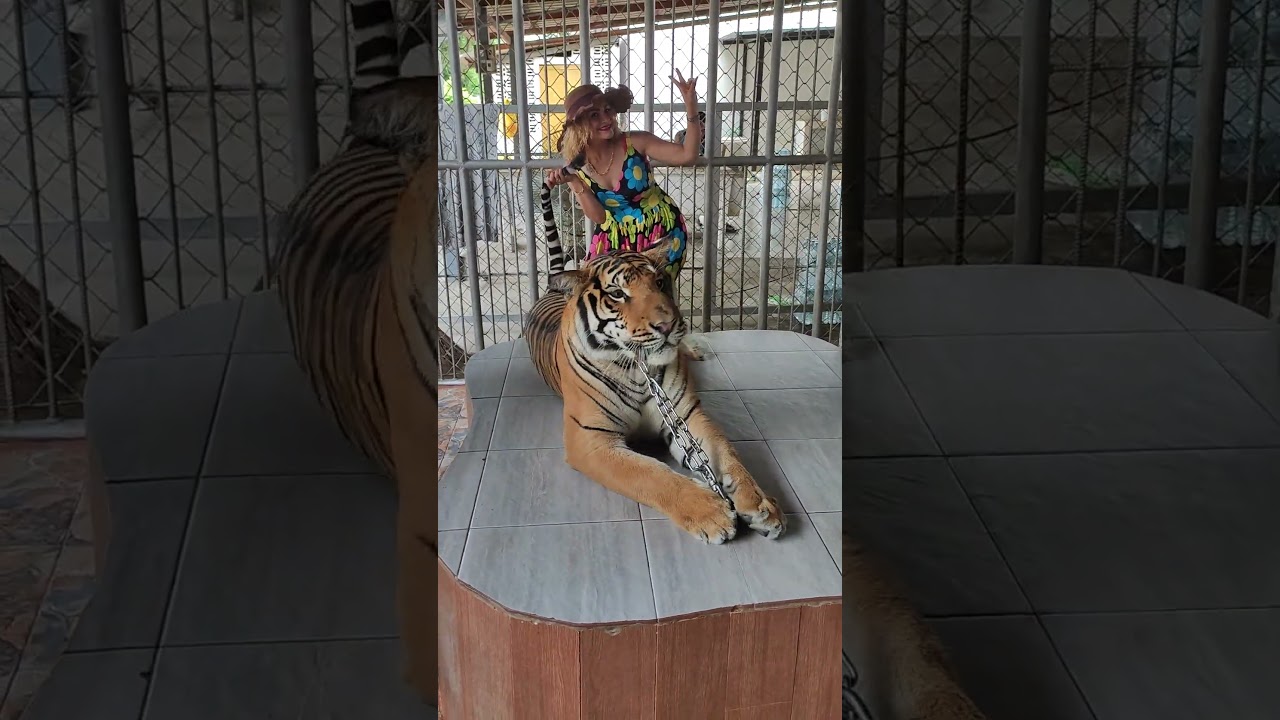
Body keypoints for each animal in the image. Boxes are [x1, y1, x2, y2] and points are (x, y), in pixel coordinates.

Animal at [522, 236, 785, 543]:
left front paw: (760, 504)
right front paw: (711, 513)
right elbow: (649, 474)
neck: (637, 369)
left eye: (659, 282)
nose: (667, 325)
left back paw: (696, 349)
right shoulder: (591, 439)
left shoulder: (686, 415)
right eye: (617, 294)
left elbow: (728, 454)